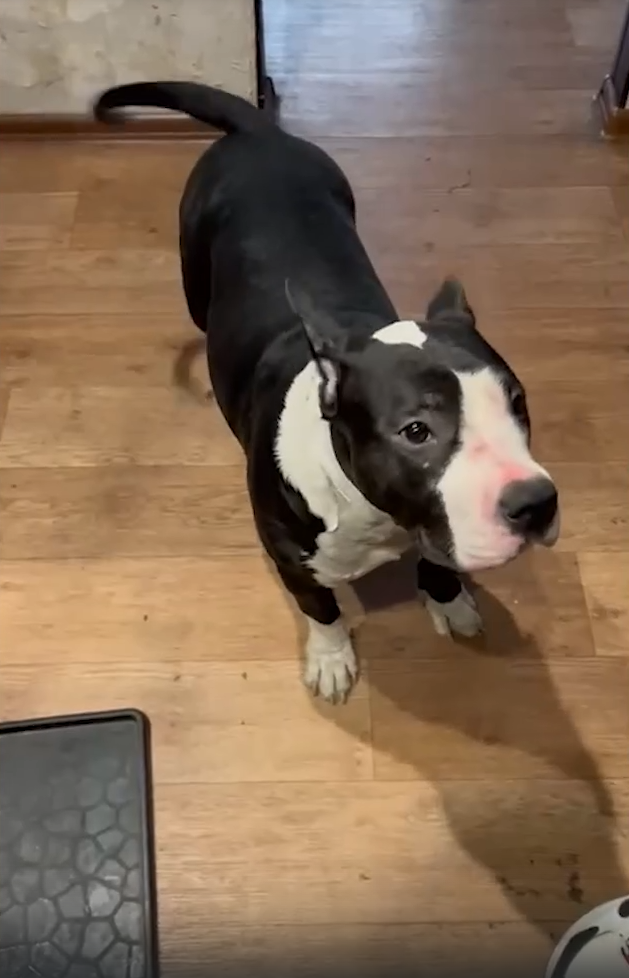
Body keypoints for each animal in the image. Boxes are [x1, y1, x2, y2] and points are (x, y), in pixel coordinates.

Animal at [94, 82, 560, 703]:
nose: (536, 503)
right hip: (193, 276)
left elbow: (437, 562)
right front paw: (332, 657)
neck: (375, 514)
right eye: (417, 431)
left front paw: (448, 598)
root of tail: (259, 133)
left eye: (517, 404)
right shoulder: (292, 560)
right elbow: (320, 607)